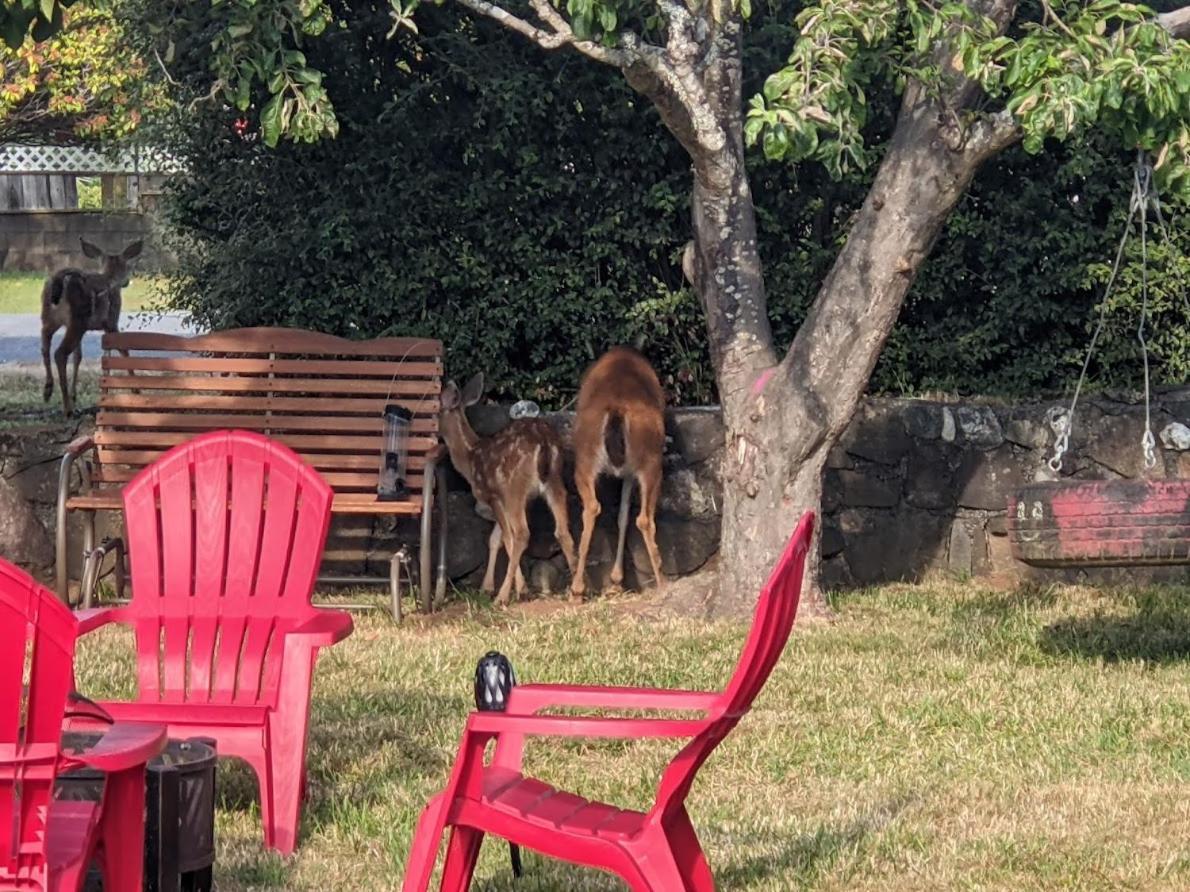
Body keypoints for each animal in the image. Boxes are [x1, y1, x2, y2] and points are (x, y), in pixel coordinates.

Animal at [41, 237, 142, 418]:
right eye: (128, 266)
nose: (126, 282)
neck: (109, 279)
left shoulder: (93, 328)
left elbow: (79, 356)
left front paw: (75, 395)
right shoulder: (111, 322)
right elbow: (124, 351)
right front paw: (136, 389)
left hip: (50, 318)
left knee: (45, 346)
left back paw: (48, 390)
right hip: (77, 320)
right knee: (60, 353)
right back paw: (67, 408)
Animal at [445, 371, 578, 608]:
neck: (469, 458)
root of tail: (543, 441)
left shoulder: (494, 496)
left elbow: (506, 538)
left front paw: (516, 590)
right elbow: (495, 539)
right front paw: (488, 587)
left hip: (514, 487)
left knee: (523, 533)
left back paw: (502, 597)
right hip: (554, 481)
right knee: (562, 530)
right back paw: (578, 591)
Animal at [568, 347, 666, 601]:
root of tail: (617, 408)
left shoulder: (625, 472)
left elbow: (621, 516)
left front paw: (615, 580)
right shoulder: (633, 472)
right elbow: (625, 515)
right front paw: (617, 579)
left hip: (584, 460)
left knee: (592, 508)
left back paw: (577, 588)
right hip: (651, 462)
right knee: (644, 518)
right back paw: (663, 582)